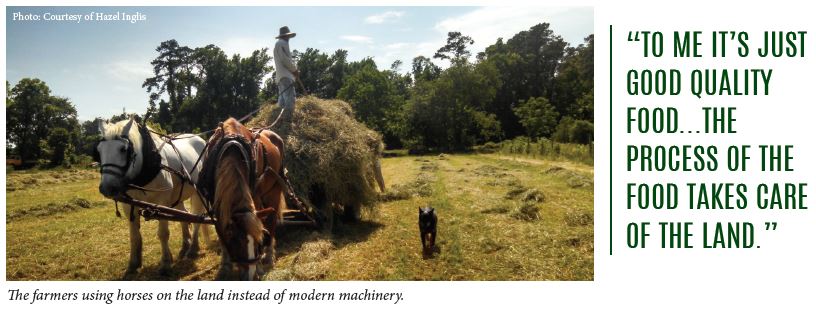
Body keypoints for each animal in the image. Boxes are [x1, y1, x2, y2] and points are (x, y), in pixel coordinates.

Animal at [95, 117, 207, 276]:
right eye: (99, 150)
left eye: (123, 149)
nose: (107, 187)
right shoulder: (129, 205)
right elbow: (134, 236)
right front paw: (133, 265)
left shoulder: (161, 203)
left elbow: (163, 233)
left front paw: (165, 263)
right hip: (177, 196)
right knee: (184, 216)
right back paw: (186, 245)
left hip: (199, 192)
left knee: (197, 216)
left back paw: (193, 248)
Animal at [200, 117, 286, 280]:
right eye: (234, 240)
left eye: (258, 240)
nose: (249, 275)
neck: (232, 144)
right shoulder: (216, 203)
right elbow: (220, 232)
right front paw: (225, 266)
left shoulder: (255, 197)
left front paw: (259, 266)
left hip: (274, 190)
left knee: (271, 220)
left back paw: (269, 256)